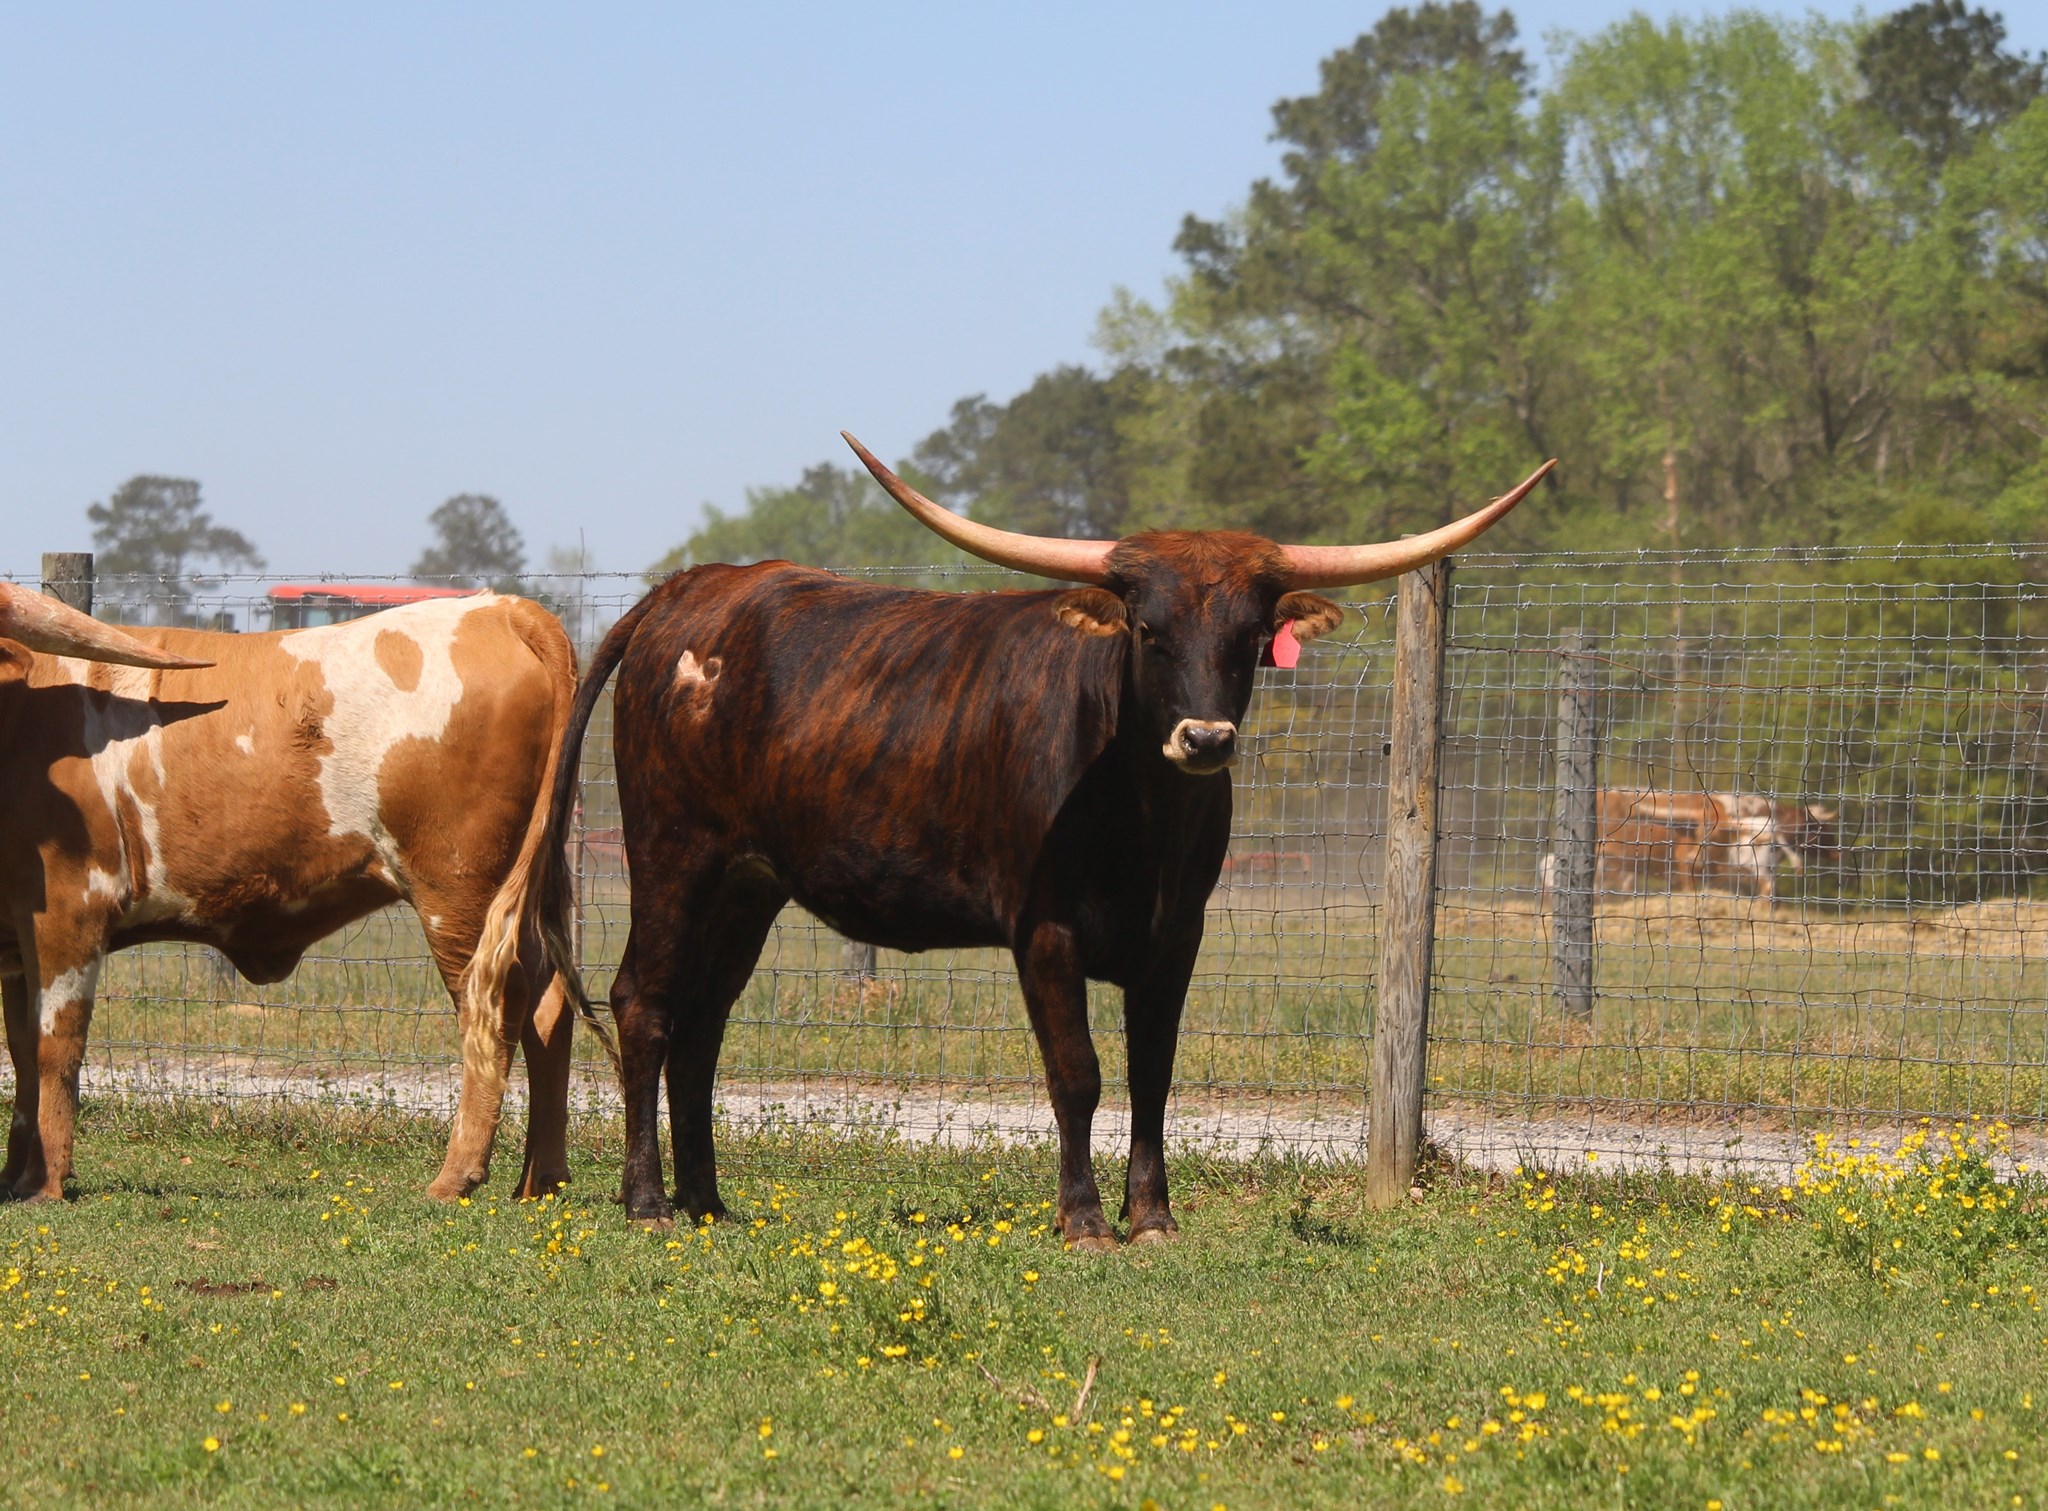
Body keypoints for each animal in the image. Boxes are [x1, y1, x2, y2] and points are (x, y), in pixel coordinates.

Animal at [0, 580, 586, 1203]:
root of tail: (501, 608)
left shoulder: (72, 908)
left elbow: (54, 1046)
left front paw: (46, 1183)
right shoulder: (16, 939)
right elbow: (20, 1050)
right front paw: (15, 1177)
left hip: (459, 892)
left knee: (492, 1006)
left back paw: (457, 1176)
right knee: (548, 1007)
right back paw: (541, 1178)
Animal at [524, 432, 1553, 1244]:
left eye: (1253, 636)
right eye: (1148, 628)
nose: (1205, 739)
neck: (1143, 817)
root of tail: (688, 591)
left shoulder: (1176, 938)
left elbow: (1152, 1076)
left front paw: (1154, 1218)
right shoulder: (1044, 930)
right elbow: (1080, 1074)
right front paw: (1086, 1219)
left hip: (749, 880)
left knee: (703, 1023)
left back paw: (708, 1201)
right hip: (673, 852)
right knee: (644, 1001)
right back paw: (649, 1202)